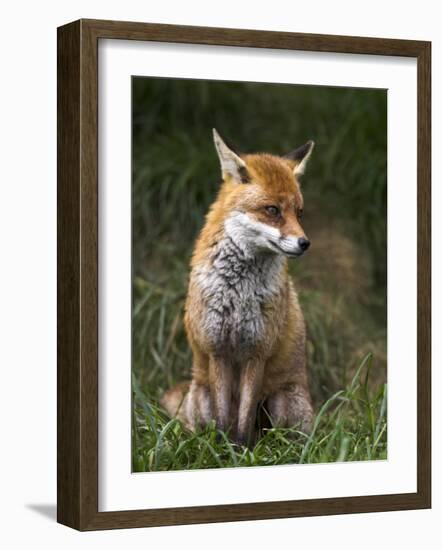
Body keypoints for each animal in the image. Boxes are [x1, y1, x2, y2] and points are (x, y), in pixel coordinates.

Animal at [161, 129, 314, 448]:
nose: (305, 243)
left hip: (282, 401)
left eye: (299, 213)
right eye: (272, 210)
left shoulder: (257, 351)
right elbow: (224, 419)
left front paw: (243, 451)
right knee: (197, 425)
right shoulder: (218, 350)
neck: (238, 291)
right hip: (201, 394)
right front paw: (223, 450)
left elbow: (243, 420)